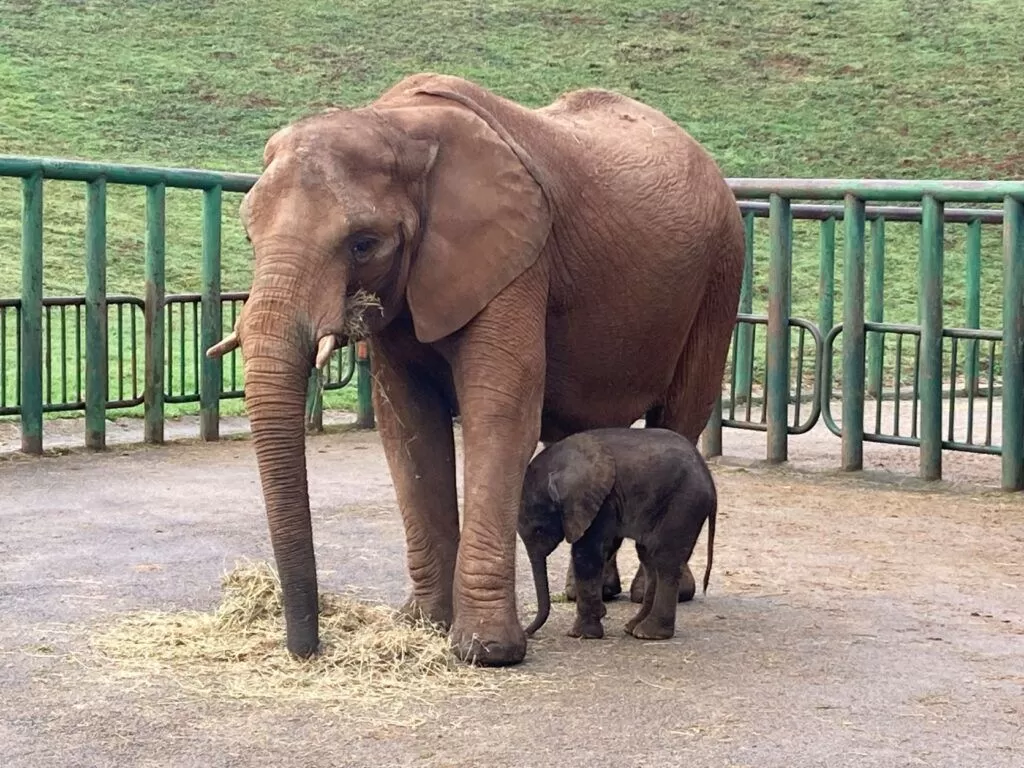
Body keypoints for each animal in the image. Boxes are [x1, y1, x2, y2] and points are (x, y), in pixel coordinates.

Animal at [519, 428, 717, 641]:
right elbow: (605, 548)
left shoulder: (602, 502)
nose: (527, 633)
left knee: (665, 560)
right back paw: (632, 628)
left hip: (684, 504)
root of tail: (709, 478)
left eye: (538, 530)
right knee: (649, 558)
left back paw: (649, 634)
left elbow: (587, 554)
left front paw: (580, 634)